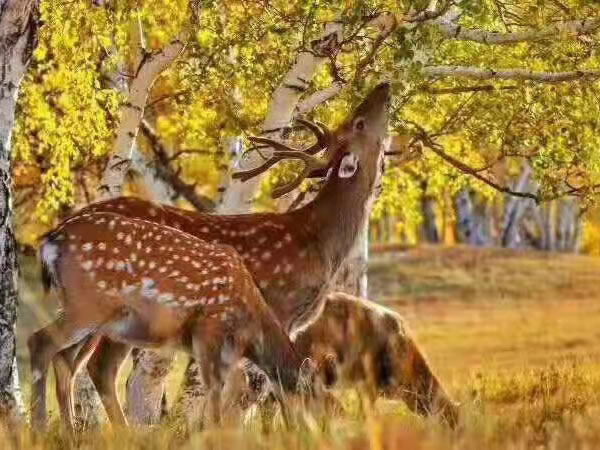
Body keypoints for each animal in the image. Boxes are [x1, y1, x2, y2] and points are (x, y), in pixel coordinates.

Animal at [29, 211, 316, 428]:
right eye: (314, 397)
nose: (312, 434)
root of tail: (50, 242)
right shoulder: (209, 325)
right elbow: (216, 387)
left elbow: (235, 387)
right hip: (88, 304)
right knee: (40, 341)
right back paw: (40, 428)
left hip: (90, 314)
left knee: (66, 358)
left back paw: (71, 431)